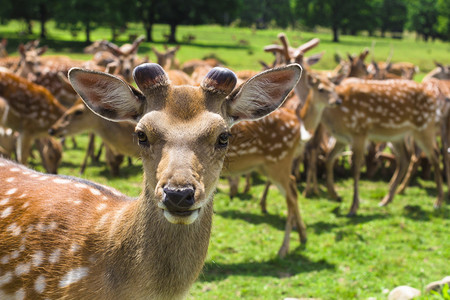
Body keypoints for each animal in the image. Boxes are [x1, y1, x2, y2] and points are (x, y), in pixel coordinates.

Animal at [322, 78, 444, 216]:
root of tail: (434, 97)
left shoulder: (360, 133)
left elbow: (356, 168)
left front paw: (353, 207)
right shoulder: (342, 138)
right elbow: (328, 159)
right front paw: (335, 195)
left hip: (424, 127)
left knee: (435, 156)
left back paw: (438, 201)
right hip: (397, 135)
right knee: (405, 159)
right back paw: (386, 200)